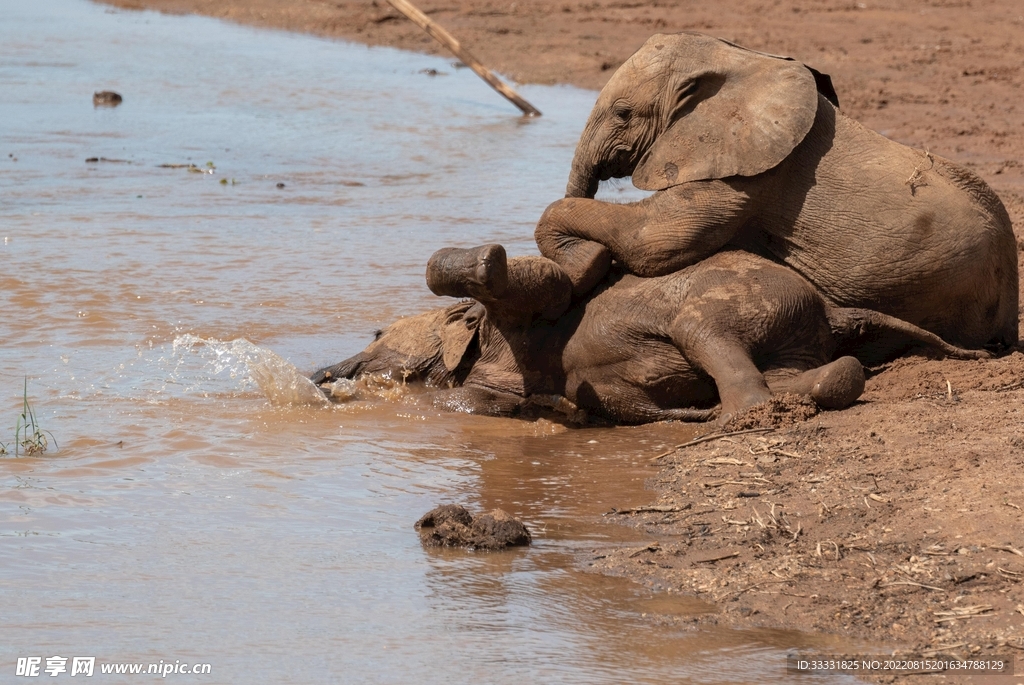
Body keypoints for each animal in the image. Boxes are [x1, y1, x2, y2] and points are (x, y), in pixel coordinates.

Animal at [311, 245, 986, 424]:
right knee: (809, 372)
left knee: (705, 334)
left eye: (377, 332)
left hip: (733, 300)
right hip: (794, 333)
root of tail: (828, 305)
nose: (320, 374)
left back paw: (733, 420)